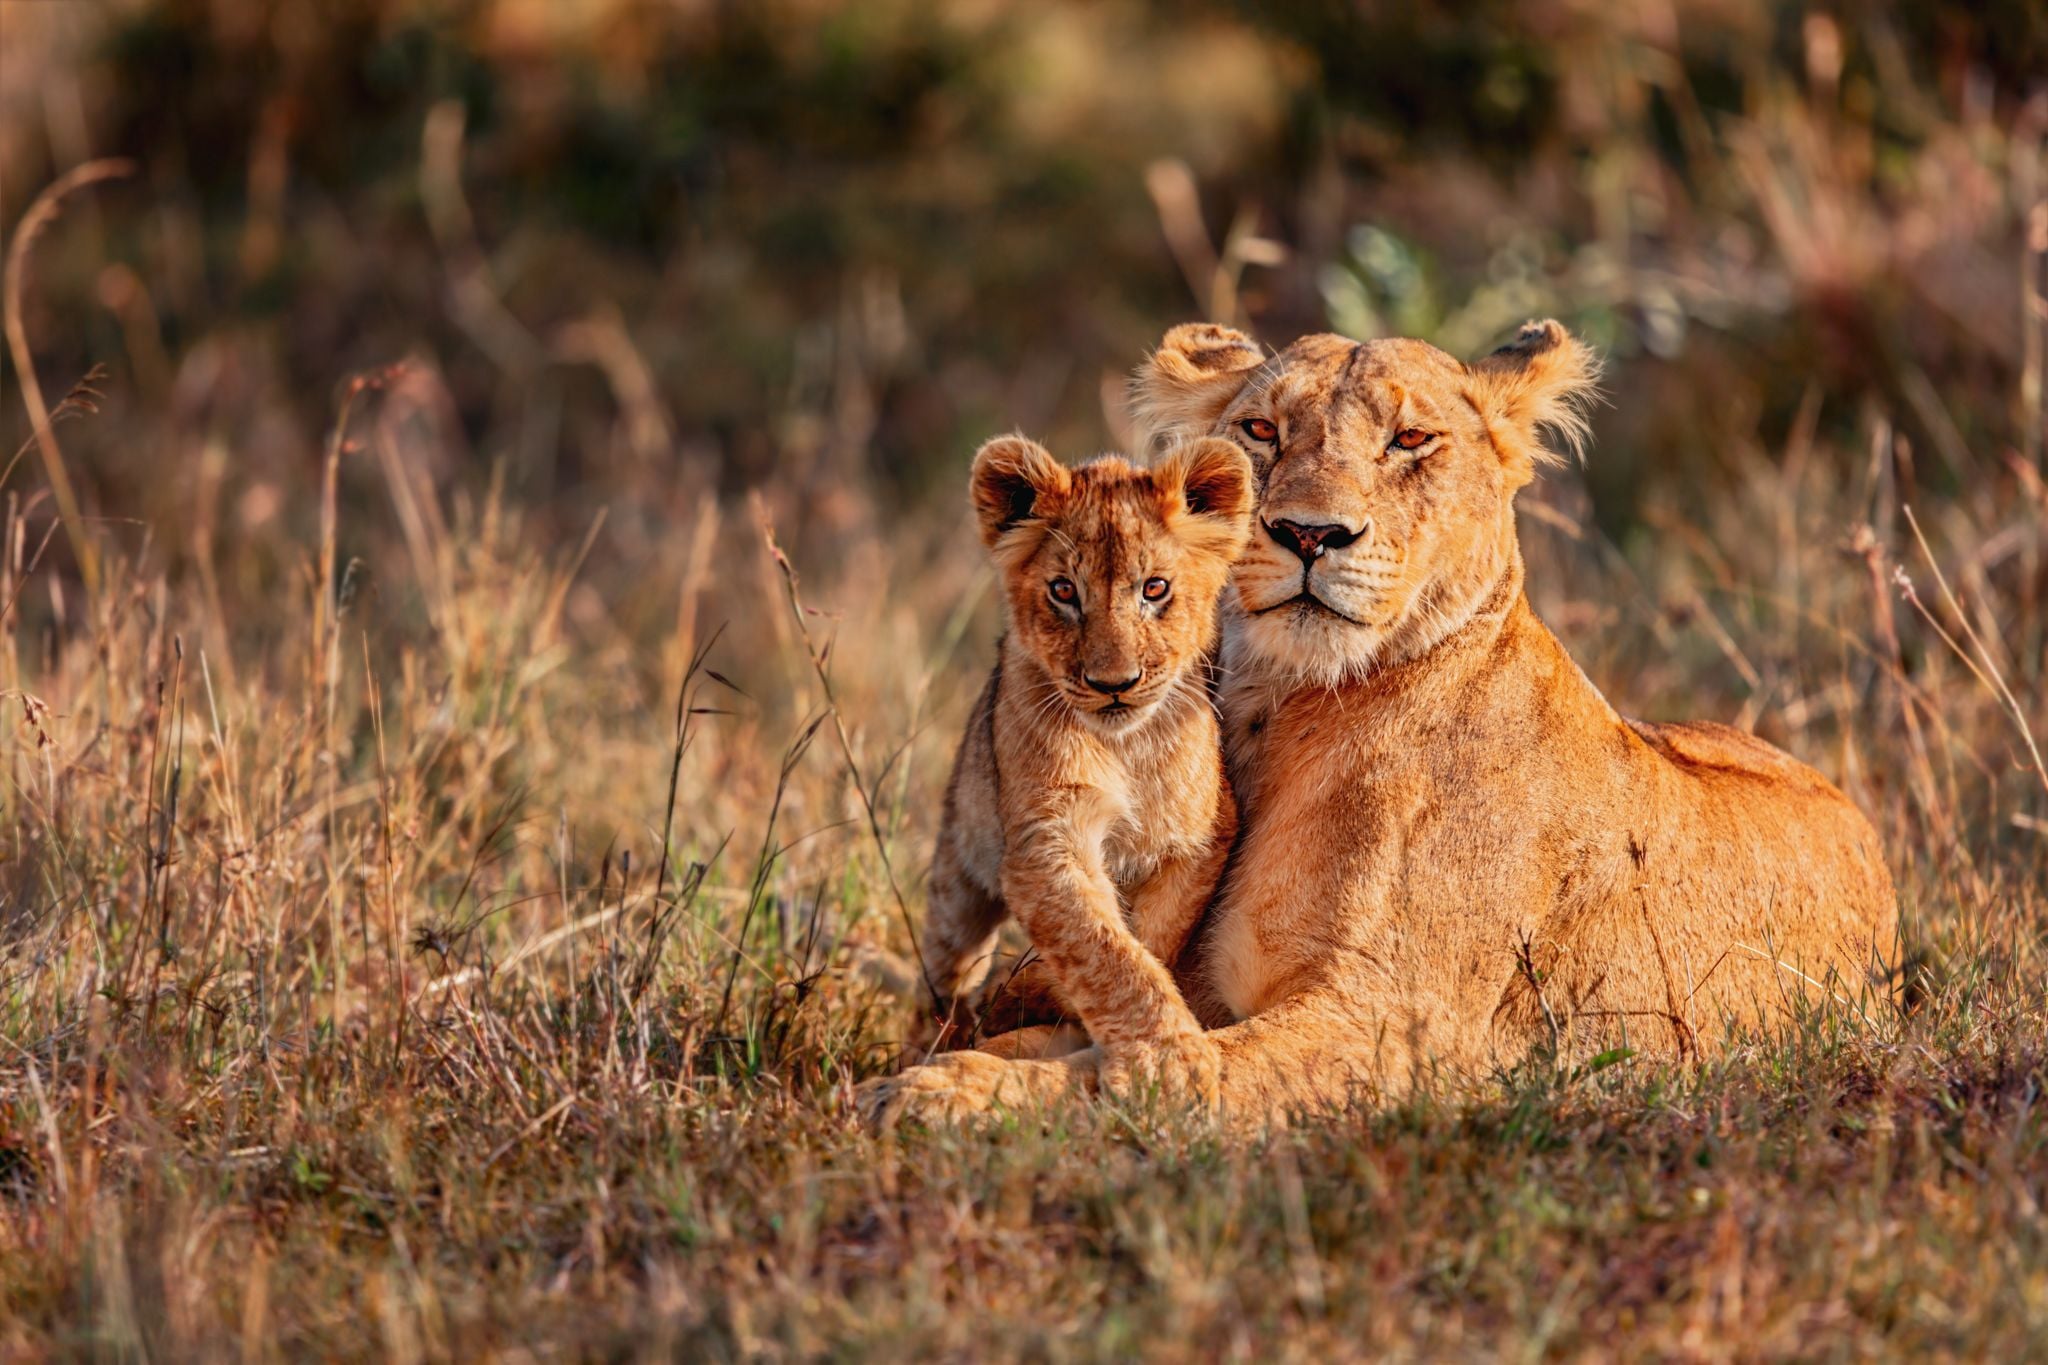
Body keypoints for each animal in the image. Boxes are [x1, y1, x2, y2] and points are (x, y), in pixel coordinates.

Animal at [890, 433, 1253, 1089]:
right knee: (945, 969)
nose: (1114, 684)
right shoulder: (1045, 841)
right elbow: (1102, 947)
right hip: (959, 871)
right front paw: (1169, 1059)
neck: (1125, 746)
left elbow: (1147, 937)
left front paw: (1041, 996)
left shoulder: (1200, 838)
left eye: (1154, 589)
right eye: (1064, 591)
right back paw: (934, 1036)